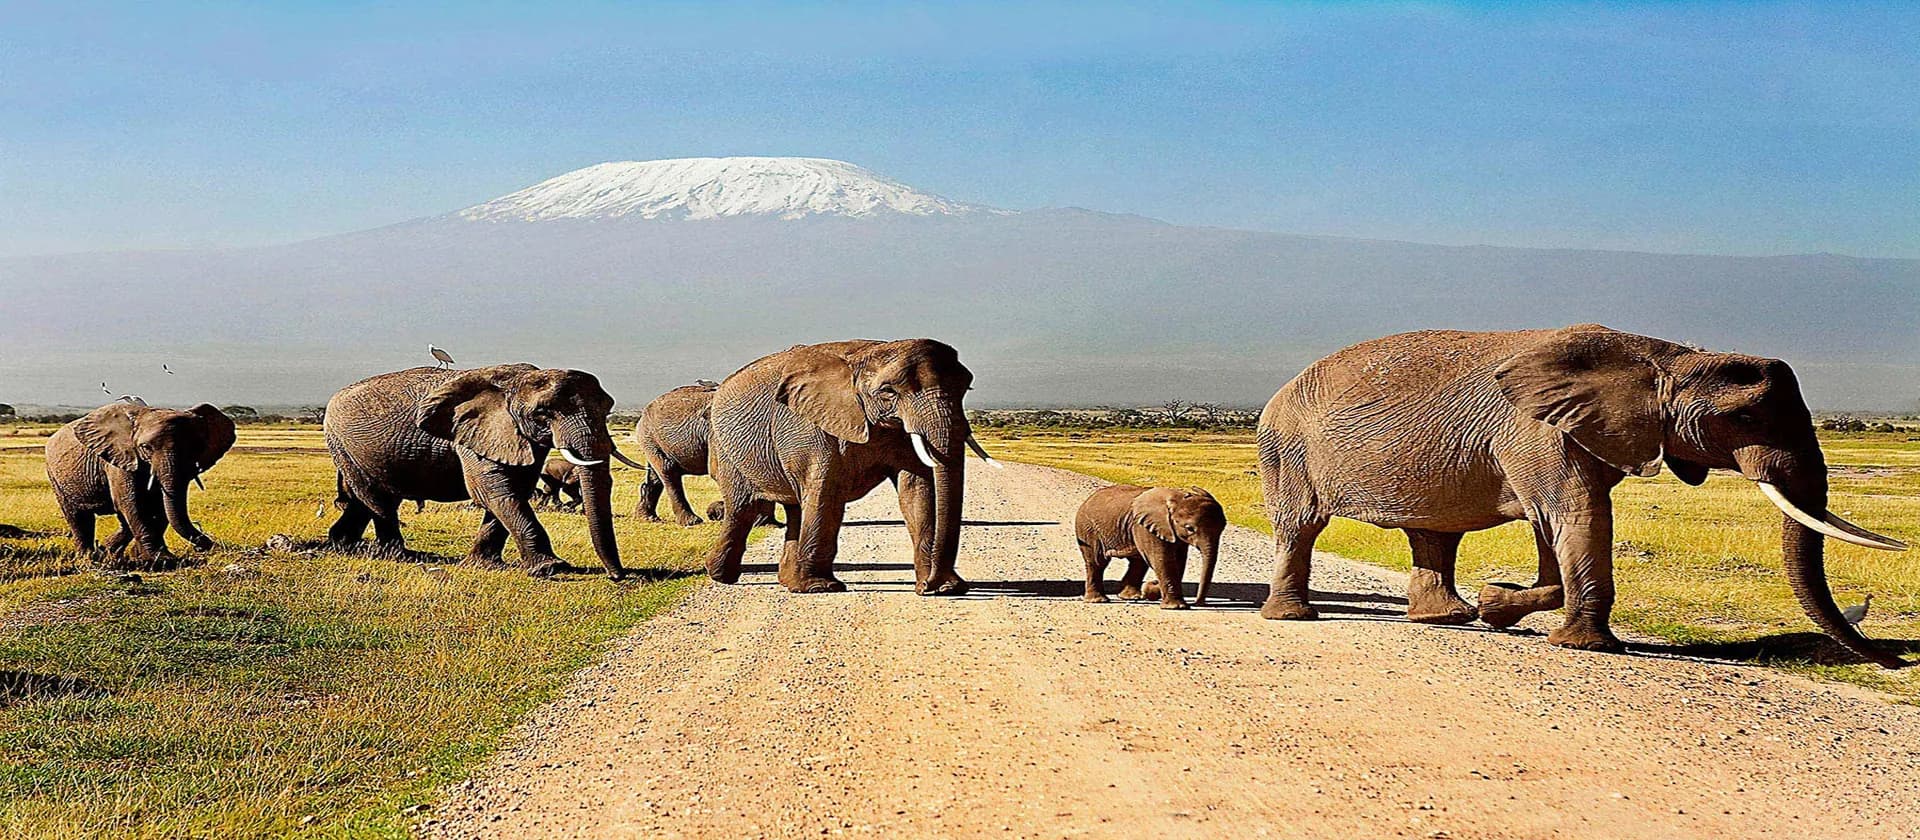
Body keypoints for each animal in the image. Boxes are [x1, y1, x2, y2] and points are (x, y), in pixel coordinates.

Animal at [44, 402, 236, 568]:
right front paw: (162, 560)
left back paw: (109, 551)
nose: (207, 546)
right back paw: (90, 558)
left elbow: (159, 506)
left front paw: (140, 556)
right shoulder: (120, 458)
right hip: (55, 476)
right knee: (78, 517)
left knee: (122, 520)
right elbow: (132, 503)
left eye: (196, 448)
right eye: (145, 447)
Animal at [323, 365, 646, 578]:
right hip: (342, 443)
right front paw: (550, 568)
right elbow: (493, 490)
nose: (617, 576)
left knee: (367, 501)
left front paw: (484, 565)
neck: (516, 381)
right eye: (542, 413)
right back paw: (399, 556)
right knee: (377, 500)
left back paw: (343, 545)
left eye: (607, 409)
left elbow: (514, 490)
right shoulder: (471, 433)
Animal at [703, 338, 996, 594]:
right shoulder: (809, 425)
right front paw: (821, 588)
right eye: (888, 391)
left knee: (794, 508)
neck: (865, 355)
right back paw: (721, 576)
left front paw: (945, 588)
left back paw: (787, 582)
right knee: (743, 509)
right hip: (726, 450)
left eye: (966, 388)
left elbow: (916, 491)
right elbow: (826, 491)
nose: (929, 584)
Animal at [1075, 485, 1225, 609]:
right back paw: (1098, 600)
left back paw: (1132, 596)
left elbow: (1178, 561)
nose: (1198, 603)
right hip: (1088, 529)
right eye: (1189, 528)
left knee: (1138, 562)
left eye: (1223, 527)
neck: (1177, 498)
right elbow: (1162, 560)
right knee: (1097, 562)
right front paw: (1177, 607)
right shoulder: (1145, 527)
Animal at [1255, 324, 1908, 667]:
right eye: (1746, 418)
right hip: (1287, 449)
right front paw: (1585, 646)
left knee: (1434, 536)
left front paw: (1498, 605)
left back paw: (1449, 619)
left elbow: (1559, 533)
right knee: (1299, 527)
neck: (1666, 356)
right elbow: (1577, 516)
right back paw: (1293, 617)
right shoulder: (1537, 432)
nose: (1895, 662)